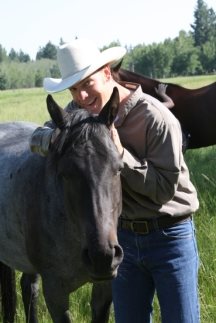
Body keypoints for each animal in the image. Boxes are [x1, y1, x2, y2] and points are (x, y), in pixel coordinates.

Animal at [0, 87, 123, 322]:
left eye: (118, 168)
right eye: (65, 173)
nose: (101, 256)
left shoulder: (105, 288)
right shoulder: (55, 293)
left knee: (28, 288)